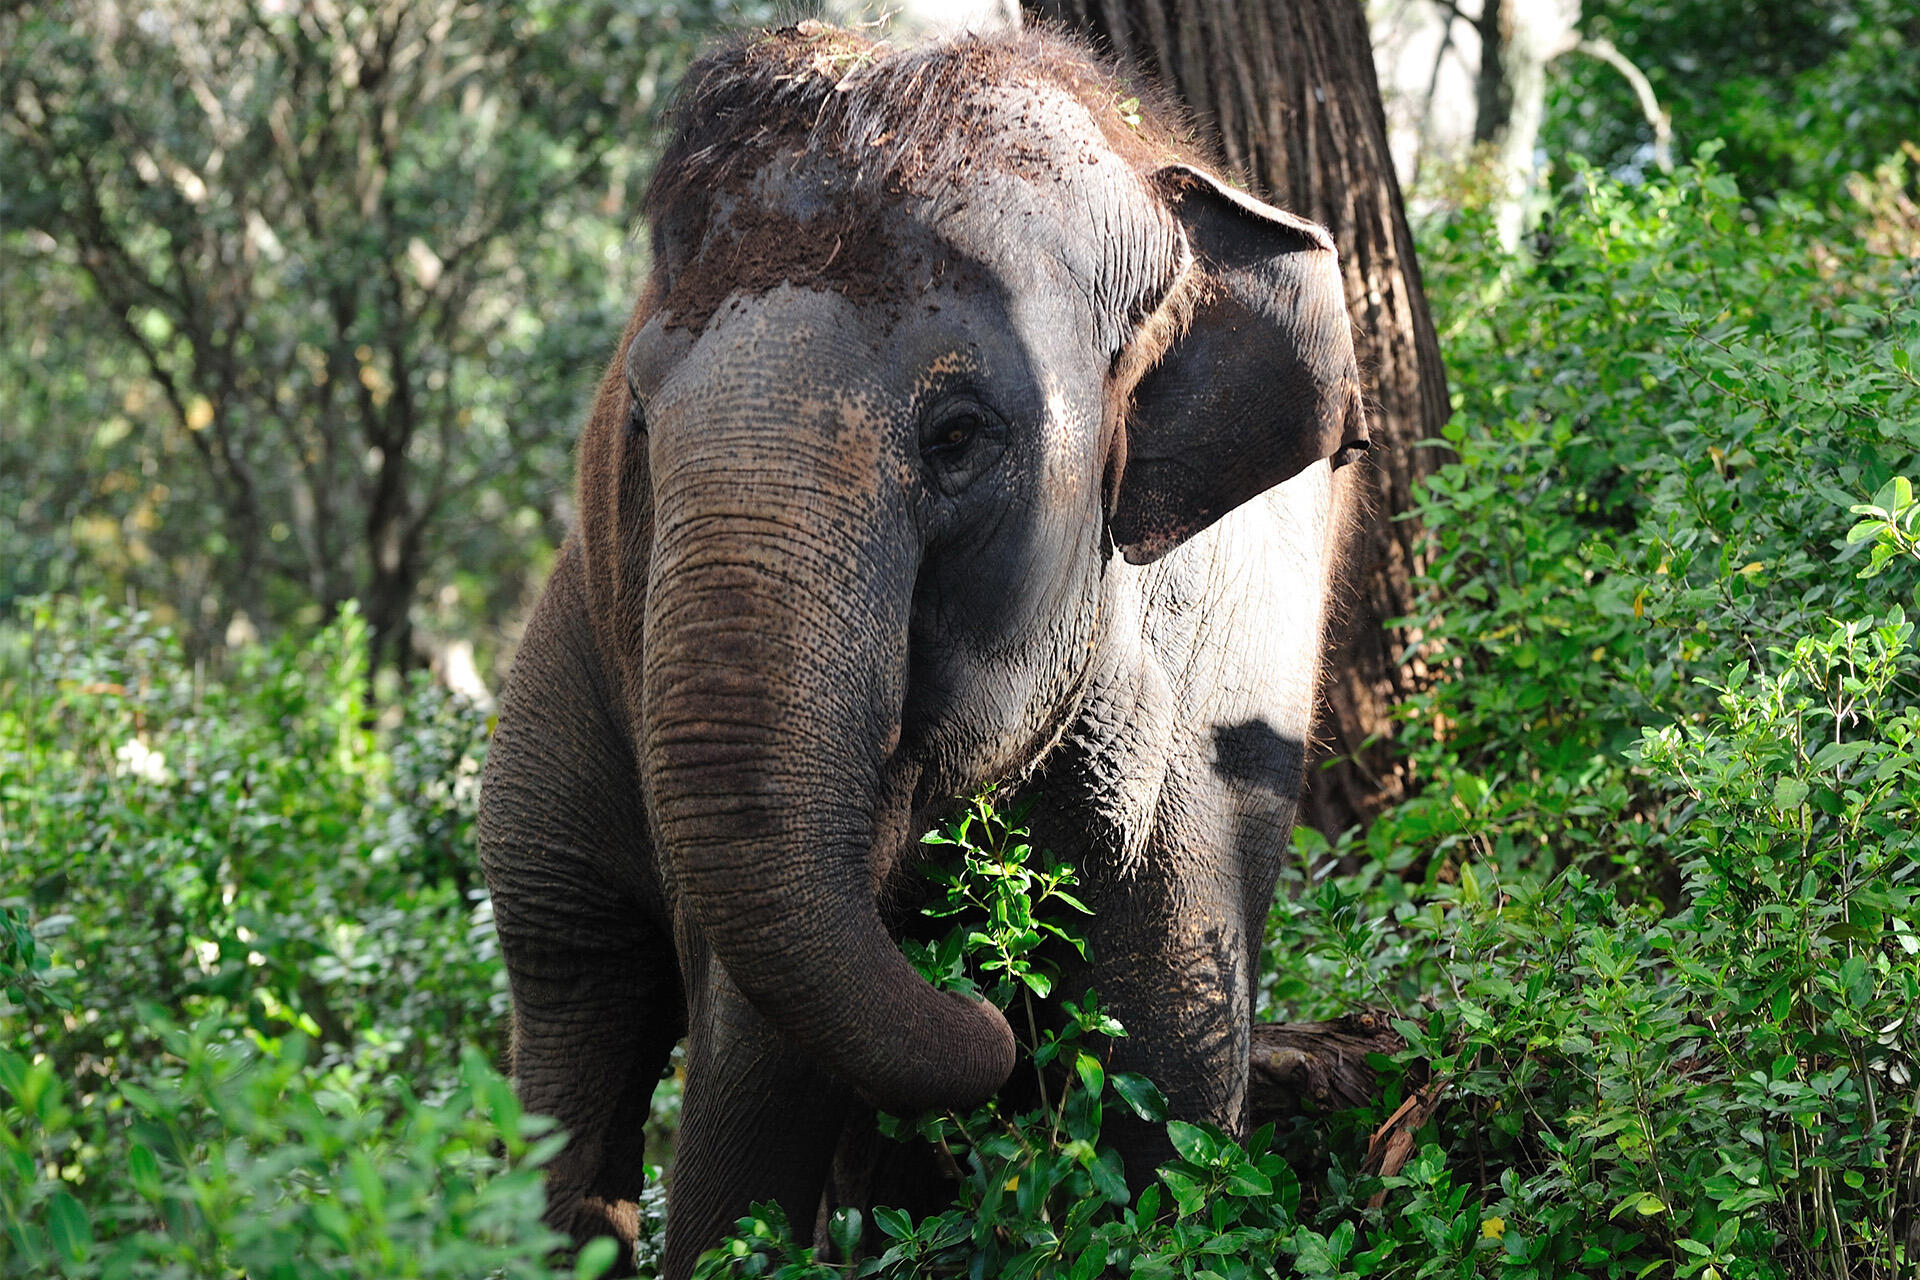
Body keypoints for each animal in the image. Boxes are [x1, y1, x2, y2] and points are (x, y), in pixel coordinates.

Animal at [476, 22, 1367, 1280]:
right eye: (639, 428)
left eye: (956, 436)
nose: (994, 1014)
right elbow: (757, 1066)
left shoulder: (1226, 657)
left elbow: (1168, 1049)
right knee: (575, 986)